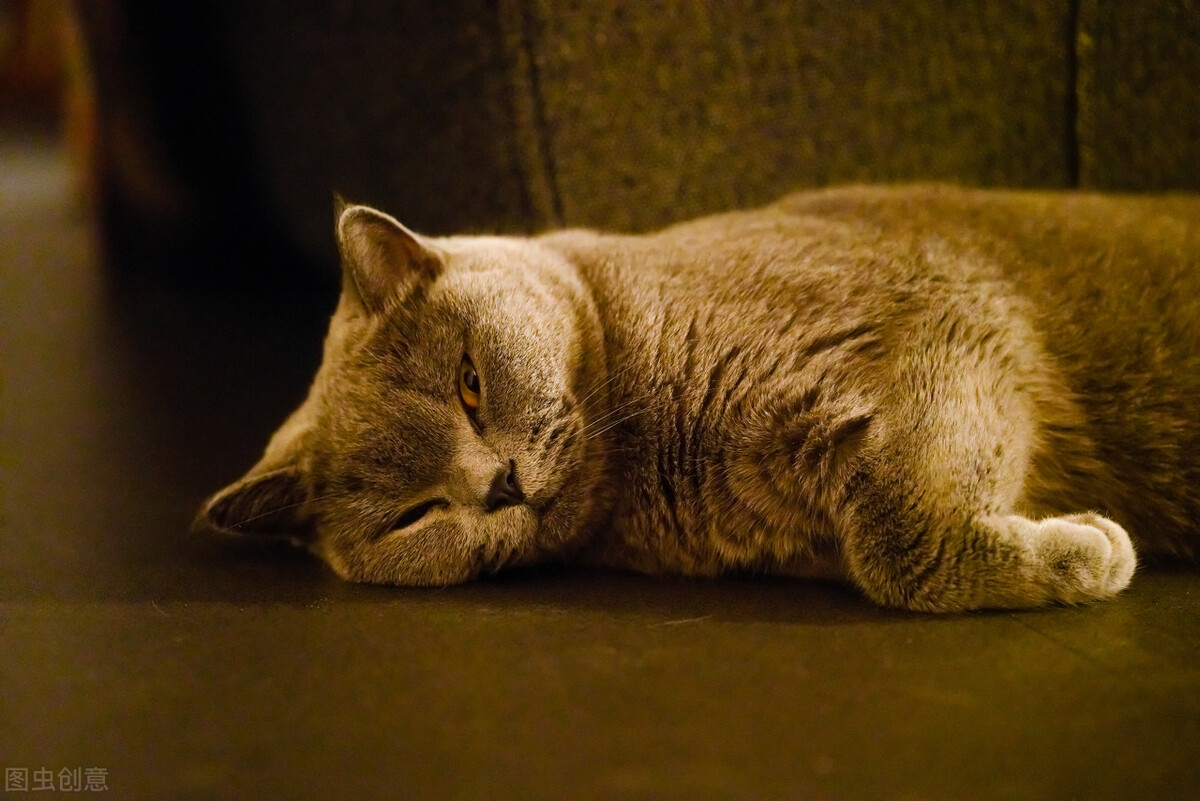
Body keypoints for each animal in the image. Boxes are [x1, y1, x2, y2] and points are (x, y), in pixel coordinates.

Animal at [192, 184, 1195, 609]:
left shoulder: (939, 319)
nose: (499, 483)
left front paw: (1093, 551)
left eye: (471, 386)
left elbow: (898, 542)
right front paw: (1087, 551)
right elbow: (888, 549)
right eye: (413, 515)